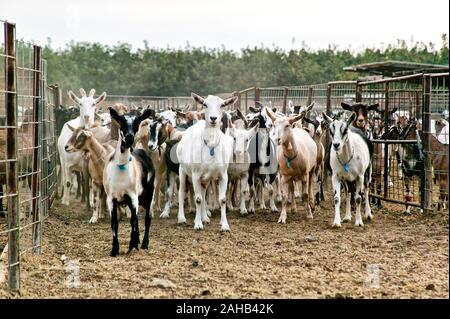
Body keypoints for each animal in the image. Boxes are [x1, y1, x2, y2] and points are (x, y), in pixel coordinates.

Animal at [103, 107, 156, 258]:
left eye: (137, 122)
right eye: (121, 122)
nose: (129, 138)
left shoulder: (132, 196)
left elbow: (134, 221)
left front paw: (132, 246)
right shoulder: (111, 198)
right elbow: (114, 223)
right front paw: (114, 250)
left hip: (149, 194)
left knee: (147, 218)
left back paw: (144, 244)